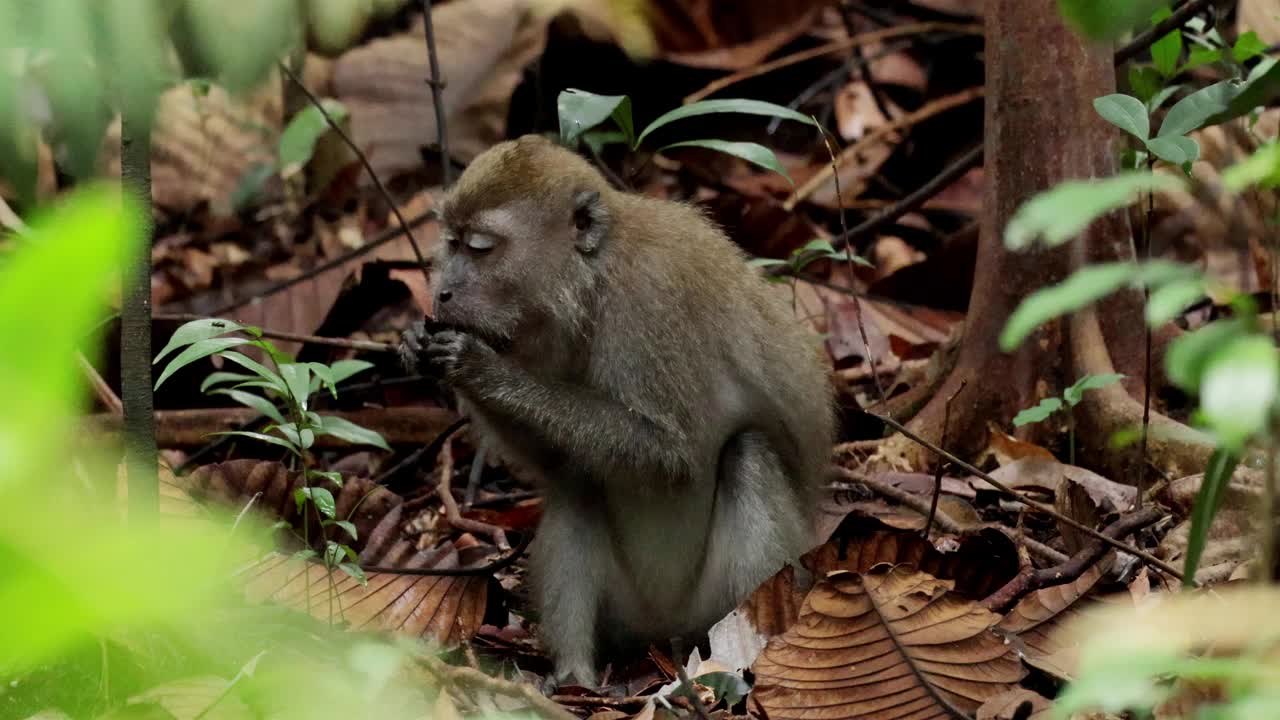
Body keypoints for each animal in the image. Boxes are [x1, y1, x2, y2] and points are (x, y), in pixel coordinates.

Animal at [401, 134, 839, 681]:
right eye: (452, 241)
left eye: (480, 246)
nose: (441, 292)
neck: (593, 279)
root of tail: (664, 635)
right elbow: (556, 460)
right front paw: (421, 344)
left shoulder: (652, 299)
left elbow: (672, 455)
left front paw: (482, 368)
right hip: (626, 614)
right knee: (578, 476)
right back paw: (574, 675)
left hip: (717, 601)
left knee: (748, 454)